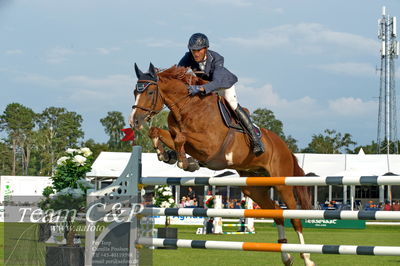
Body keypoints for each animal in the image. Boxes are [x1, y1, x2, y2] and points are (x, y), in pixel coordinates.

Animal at [131, 62, 316, 266]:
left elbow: (181, 138)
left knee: (294, 218)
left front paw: (185, 162)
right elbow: (158, 132)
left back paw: (307, 257)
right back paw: (286, 256)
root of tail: (285, 148)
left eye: (149, 92)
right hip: (254, 188)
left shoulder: (209, 145)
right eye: (134, 92)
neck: (186, 107)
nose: (134, 121)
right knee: (276, 212)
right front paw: (167, 155)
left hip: (282, 184)